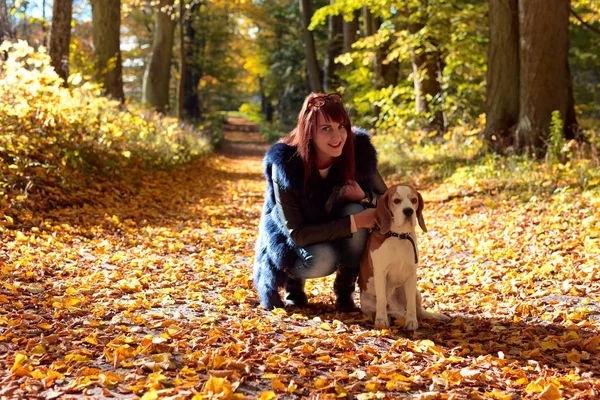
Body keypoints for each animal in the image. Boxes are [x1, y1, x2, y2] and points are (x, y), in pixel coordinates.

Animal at [358, 184, 448, 328]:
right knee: (389, 309)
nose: (408, 211)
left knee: (418, 311)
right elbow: (381, 301)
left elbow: (411, 305)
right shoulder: (380, 273)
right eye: (396, 201)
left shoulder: (412, 273)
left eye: (414, 200)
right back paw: (395, 315)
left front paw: (411, 321)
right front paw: (381, 320)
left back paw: (435, 316)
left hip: (416, 292)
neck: (399, 236)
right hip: (367, 301)